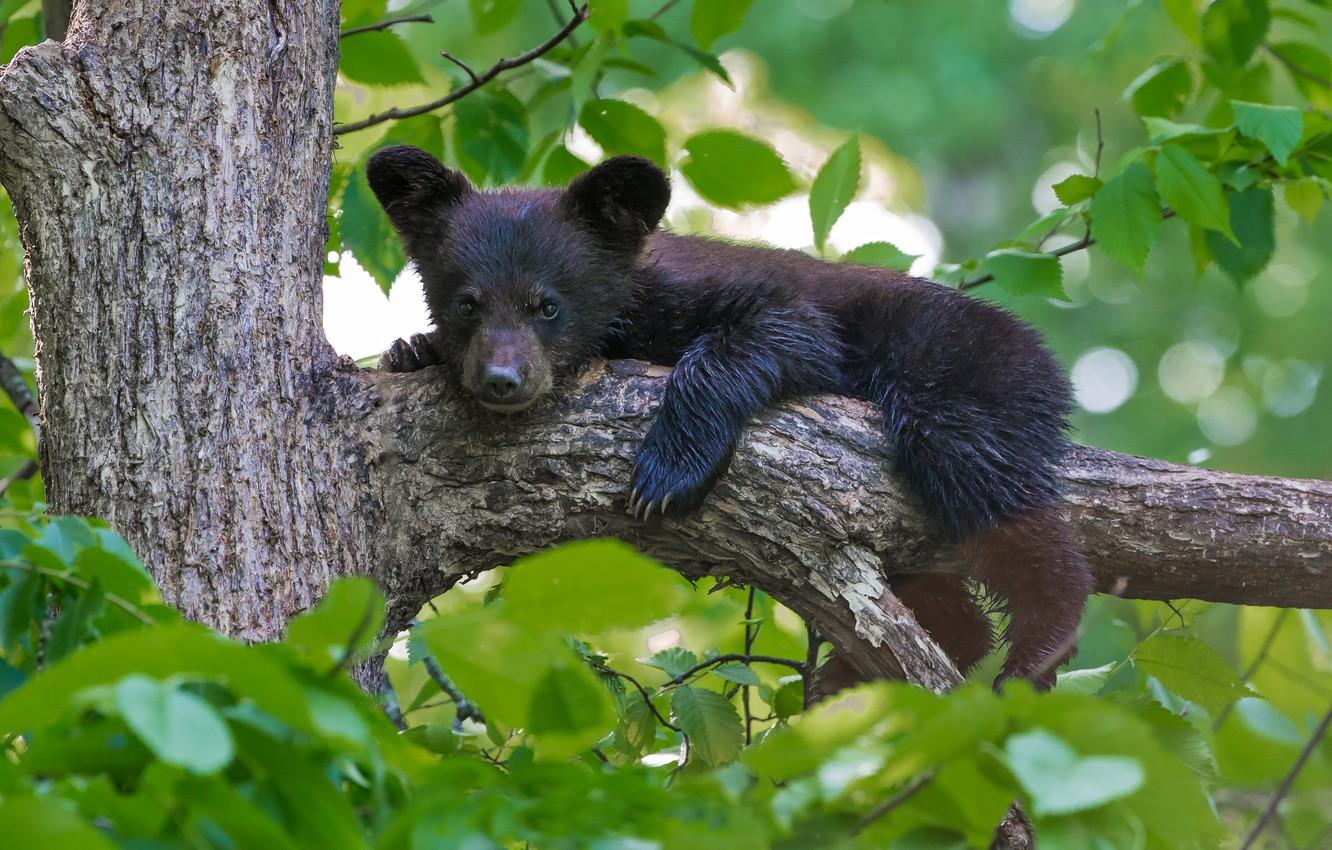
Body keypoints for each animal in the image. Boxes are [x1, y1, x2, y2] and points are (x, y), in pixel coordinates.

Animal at [366, 145, 1093, 688]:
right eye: (467, 303)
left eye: (547, 304)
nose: (502, 380)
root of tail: (1047, 357)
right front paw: (412, 350)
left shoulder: (733, 300)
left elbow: (780, 332)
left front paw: (667, 471)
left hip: (959, 373)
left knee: (988, 483)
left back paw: (1041, 643)